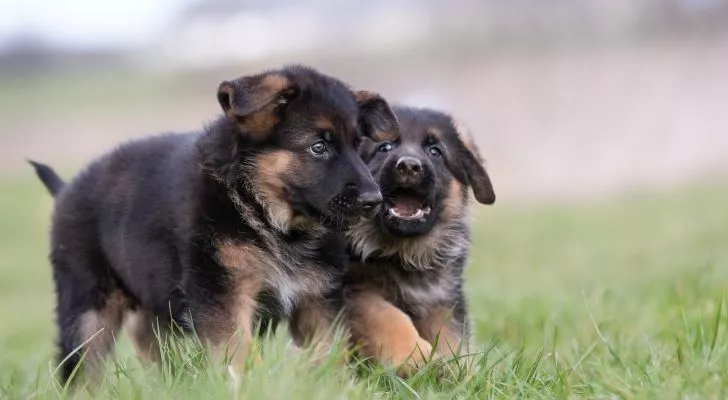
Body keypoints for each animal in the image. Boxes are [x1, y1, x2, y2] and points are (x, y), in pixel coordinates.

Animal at [31, 65, 400, 384]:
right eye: (318, 146)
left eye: (358, 145)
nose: (374, 200)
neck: (263, 212)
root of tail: (66, 188)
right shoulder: (222, 294)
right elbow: (237, 352)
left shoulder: (318, 299)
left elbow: (329, 356)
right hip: (87, 305)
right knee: (83, 367)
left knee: (148, 339)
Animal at [342, 105, 494, 376]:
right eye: (385, 147)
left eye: (435, 152)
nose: (409, 166)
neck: (403, 253)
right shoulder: (355, 290)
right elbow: (388, 317)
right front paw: (418, 359)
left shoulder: (439, 300)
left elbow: (451, 338)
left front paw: (461, 371)